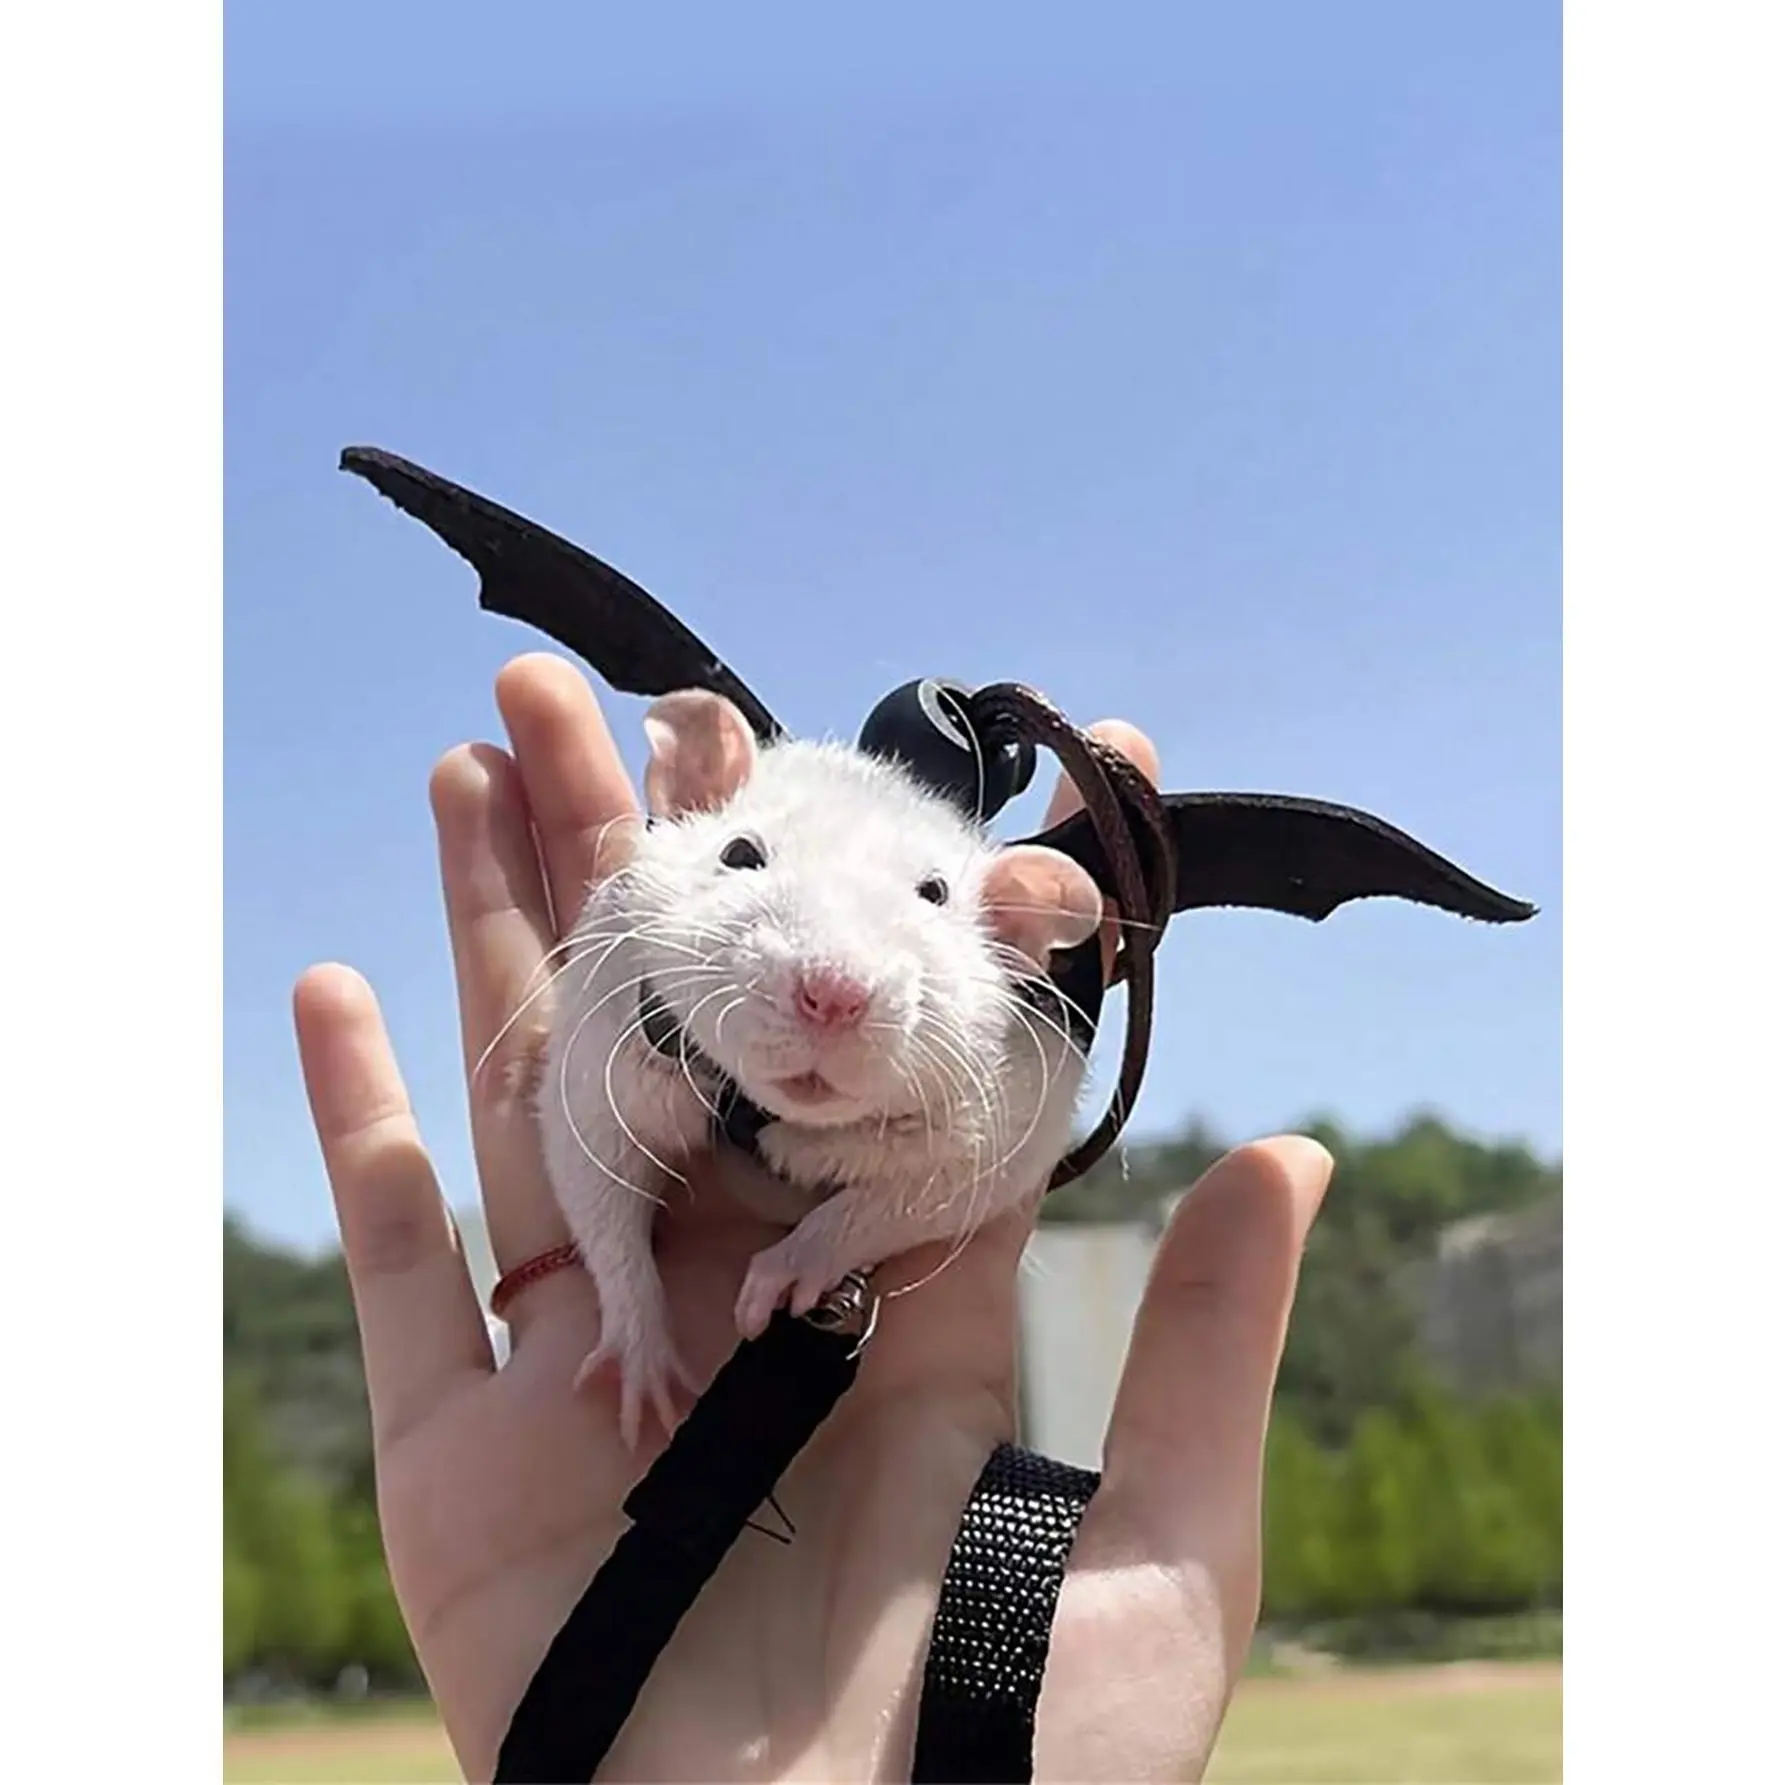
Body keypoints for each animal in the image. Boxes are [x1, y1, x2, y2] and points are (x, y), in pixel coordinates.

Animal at [535, 687, 1106, 1446]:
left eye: (934, 893)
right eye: (739, 852)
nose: (833, 993)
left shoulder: (1015, 1090)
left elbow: (944, 1188)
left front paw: (796, 1263)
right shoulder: (612, 1025)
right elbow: (595, 1164)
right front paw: (639, 1346)